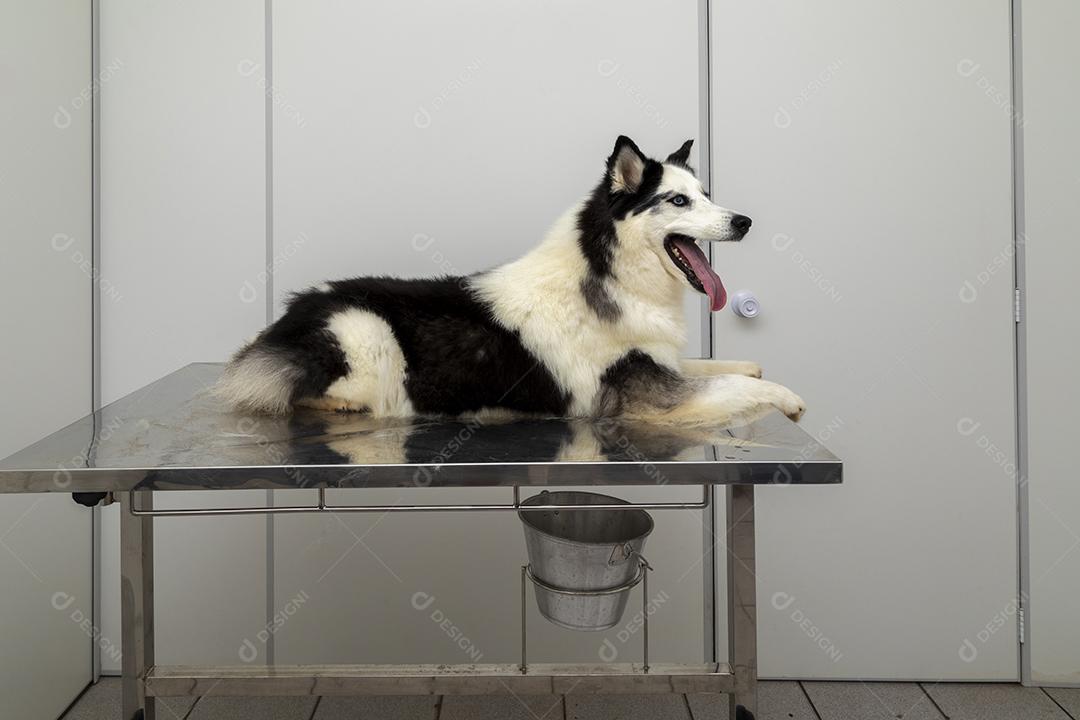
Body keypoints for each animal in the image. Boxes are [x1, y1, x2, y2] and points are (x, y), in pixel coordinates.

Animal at [216, 136, 805, 426]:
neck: (609, 273)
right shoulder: (646, 398)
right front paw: (789, 398)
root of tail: (284, 320)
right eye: (678, 201)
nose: (744, 221)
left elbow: (726, 368)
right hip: (365, 331)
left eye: (705, 195)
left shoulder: (663, 364)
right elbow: (734, 385)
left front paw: (754, 368)